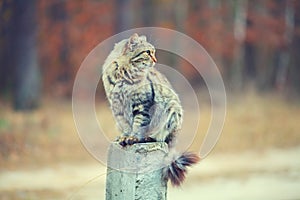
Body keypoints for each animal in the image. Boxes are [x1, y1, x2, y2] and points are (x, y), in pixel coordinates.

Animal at [101, 33, 199, 186]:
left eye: (153, 52)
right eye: (147, 52)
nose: (155, 60)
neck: (123, 74)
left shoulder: (142, 103)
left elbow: (138, 123)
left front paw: (133, 138)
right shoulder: (118, 108)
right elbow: (126, 126)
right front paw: (124, 137)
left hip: (172, 112)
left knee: (162, 138)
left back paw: (148, 137)